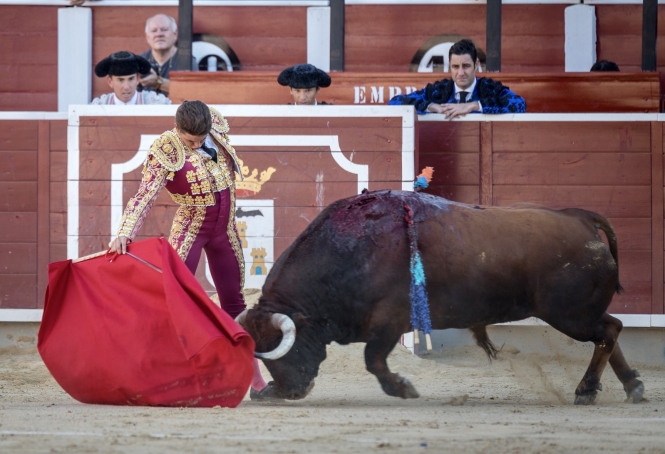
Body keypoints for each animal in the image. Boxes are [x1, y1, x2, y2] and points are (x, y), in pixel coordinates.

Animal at [235, 188, 644, 404]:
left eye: (282, 348)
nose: (288, 391)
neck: (350, 250)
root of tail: (580, 218)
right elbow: (373, 359)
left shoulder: (390, 322)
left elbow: (373, 360)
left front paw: (403, 388)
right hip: (577, 314)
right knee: (610, 332)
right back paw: (631, 386)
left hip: (569, 314)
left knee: (609, 331)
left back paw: (587, 390)